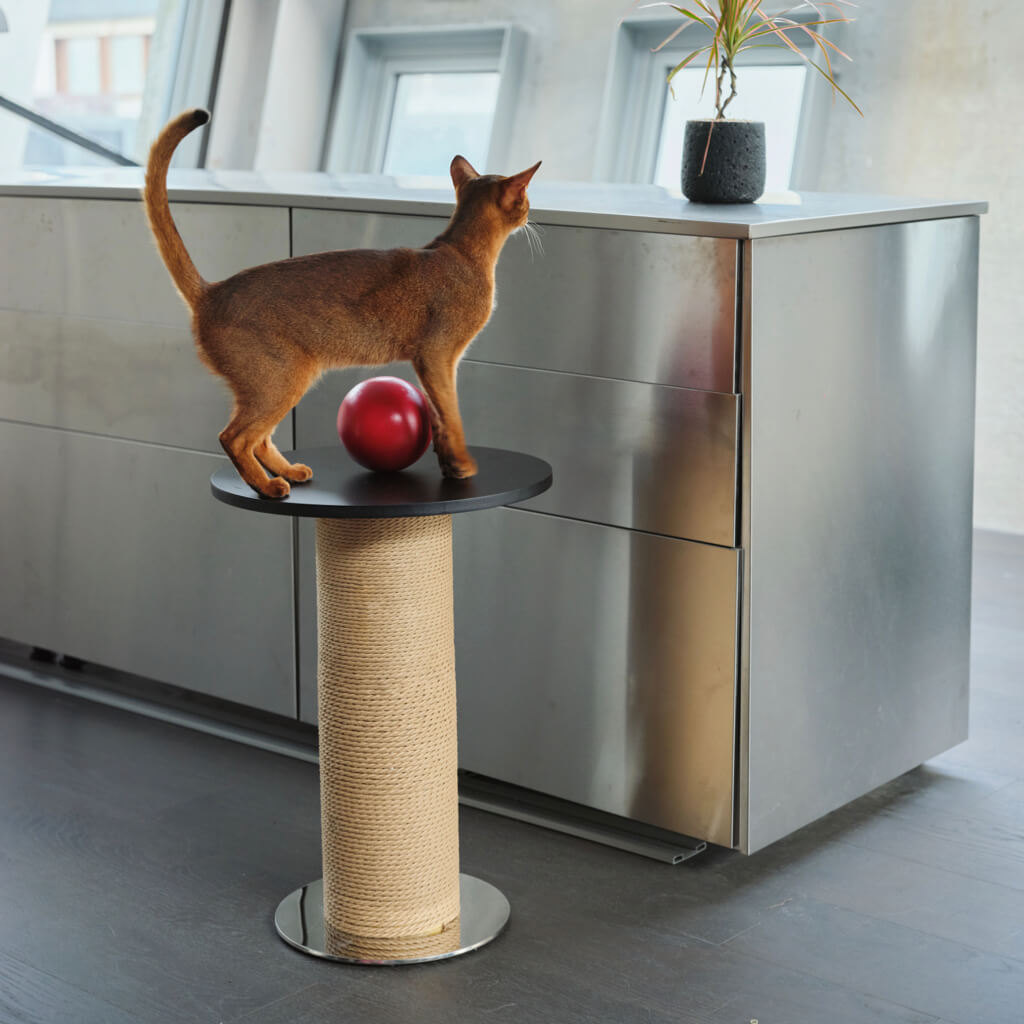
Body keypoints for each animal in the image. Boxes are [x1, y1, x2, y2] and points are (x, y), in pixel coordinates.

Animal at [145, 110, 544, 497]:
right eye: (525, 198)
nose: (531, 213)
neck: (461, 251)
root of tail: (210, 292)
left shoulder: (428, 364)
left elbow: (438, 416)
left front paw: (450, 464)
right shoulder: (438, 354)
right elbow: (453, 414)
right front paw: (464, 463)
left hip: (276, 382)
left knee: (259, 438)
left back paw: (290, 472)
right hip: (280, 380)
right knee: (234, 437)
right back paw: (268, 486)